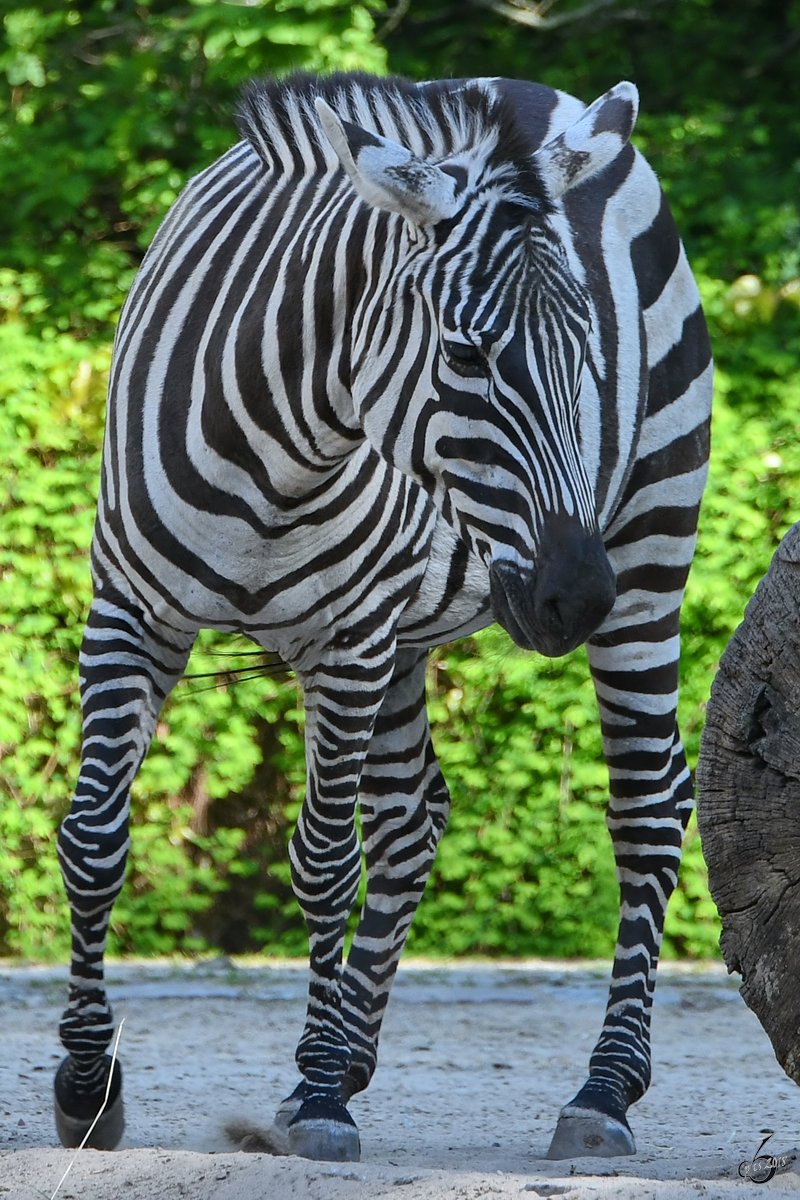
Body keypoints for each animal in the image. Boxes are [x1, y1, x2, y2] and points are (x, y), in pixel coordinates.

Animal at [51, 68, 714, 1161]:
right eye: (466, 353)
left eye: (590, 354)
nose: (574, 595)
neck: (276, 449)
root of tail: (532, 91)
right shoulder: (131, 612)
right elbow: (95, 837)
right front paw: (86, 1086)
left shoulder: (347, 640)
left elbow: (324, 859)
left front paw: (320, 1094)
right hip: (413, 629)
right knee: (414, 815)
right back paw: (349, 1055)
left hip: (650, 550)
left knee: (650, 804)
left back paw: (602, 1091)